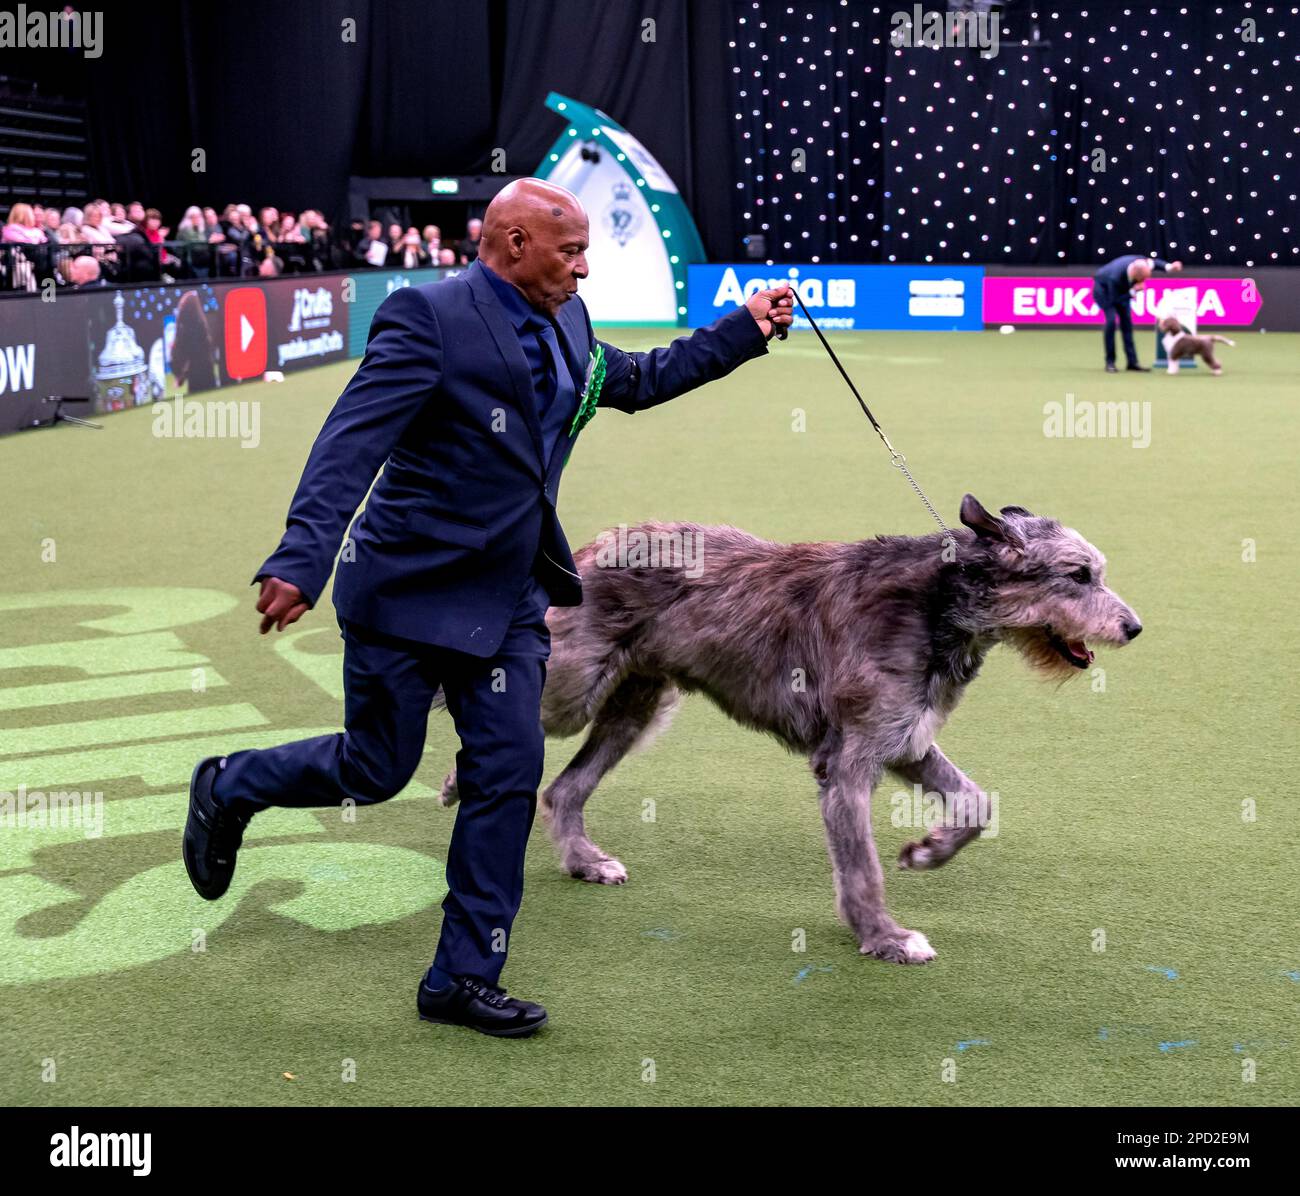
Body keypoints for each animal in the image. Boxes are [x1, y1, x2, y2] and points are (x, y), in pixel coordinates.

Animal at [441, 499, 1144, 967]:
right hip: (572, 687)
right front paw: (884, 937)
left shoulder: (905, 740)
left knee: (563, 789)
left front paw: (928, 851)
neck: (936, 607)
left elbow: (976, 803)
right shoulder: (847, 764)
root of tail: (593, 546)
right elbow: (861, 868)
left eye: (1096, 572)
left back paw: (584, 861)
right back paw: (455, 777)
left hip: (637, 704)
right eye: (1078, 575)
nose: (1134, 628)